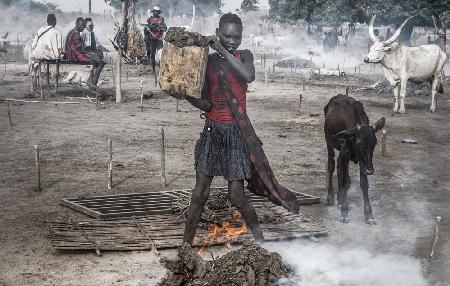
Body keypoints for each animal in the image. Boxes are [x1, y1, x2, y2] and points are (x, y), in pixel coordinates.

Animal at [324, 95, 384, 225]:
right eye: (359, 143)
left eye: (375, 142)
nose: (370, 170)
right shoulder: (345, 152)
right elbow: (346, 182)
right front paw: (344, 213)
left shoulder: (362, 160)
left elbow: (364, 184)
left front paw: (369, 215)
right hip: (329, 143)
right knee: (331, 165)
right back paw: (330, 197)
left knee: (339, 167)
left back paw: (340, 198)